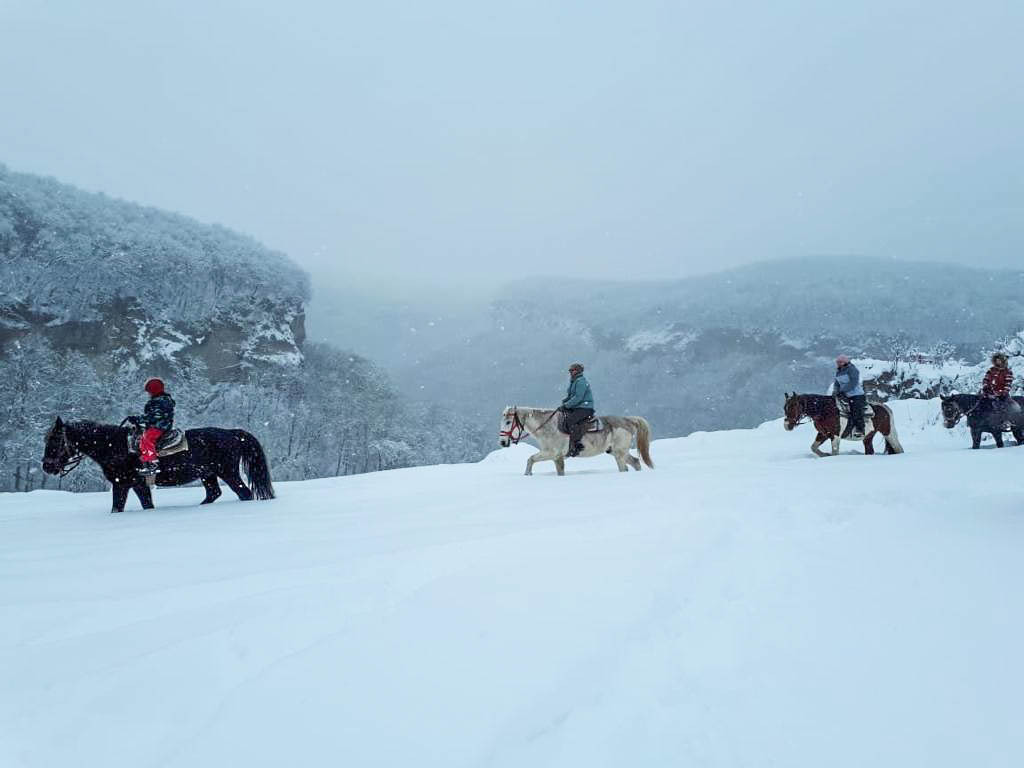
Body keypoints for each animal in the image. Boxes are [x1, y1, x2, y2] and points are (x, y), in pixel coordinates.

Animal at [43, 417, 276, 514]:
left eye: (55, 441)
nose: (47, 467)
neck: (115, 446)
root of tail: (232, 433)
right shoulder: (131, 485)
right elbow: (132, 506)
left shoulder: (127, 483)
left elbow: (130, 506)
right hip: (208, 474)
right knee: (213, 493)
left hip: (227, 472)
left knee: (244, 493)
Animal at [497, 405, 655, 479]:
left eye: (508, 422)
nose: (503, 442)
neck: (548, 426)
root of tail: (628, 420)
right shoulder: (554, 457)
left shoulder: (552, 454)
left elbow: (530, 459)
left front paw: (527, 474)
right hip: (617, 452)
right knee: (635, 462)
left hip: (619, 453)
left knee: (626, 467)